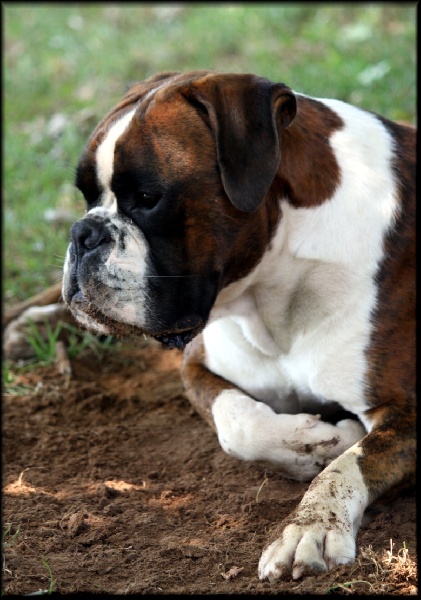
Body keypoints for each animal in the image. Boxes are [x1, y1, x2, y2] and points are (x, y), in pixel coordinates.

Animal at [5, 70, 415, 581]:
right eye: (87, 197)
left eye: (148, 199)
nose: (83, 232)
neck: (272, 287)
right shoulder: (196, 363)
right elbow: (238, 424)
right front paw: (320, 441)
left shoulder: (405, 412)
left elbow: (347, 468)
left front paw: (312, 525)